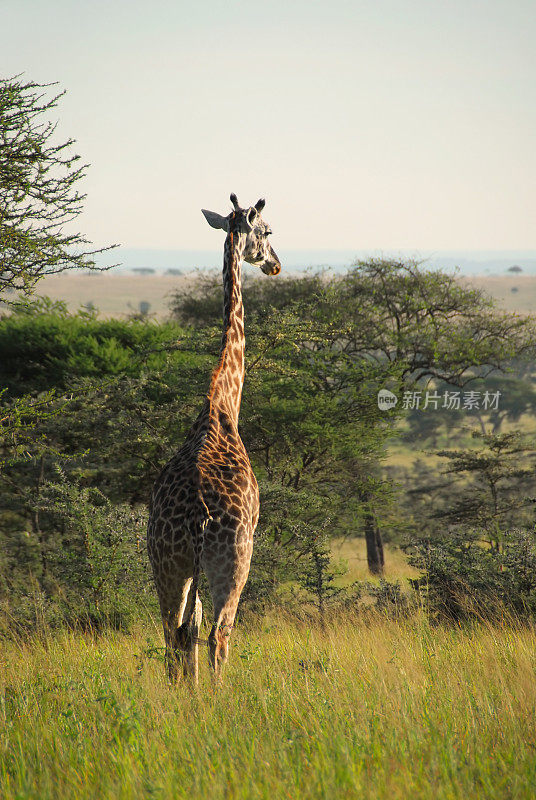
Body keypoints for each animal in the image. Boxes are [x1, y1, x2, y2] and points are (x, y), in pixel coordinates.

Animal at [147, 192, 280, 680]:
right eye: (268, 231)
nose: (275, 264)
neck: (222, 405)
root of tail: (197, 519)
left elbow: (186, 629)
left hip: (169, 564)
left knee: (175, 633)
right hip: (232, 563)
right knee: (218, 634)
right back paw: (219, 697)